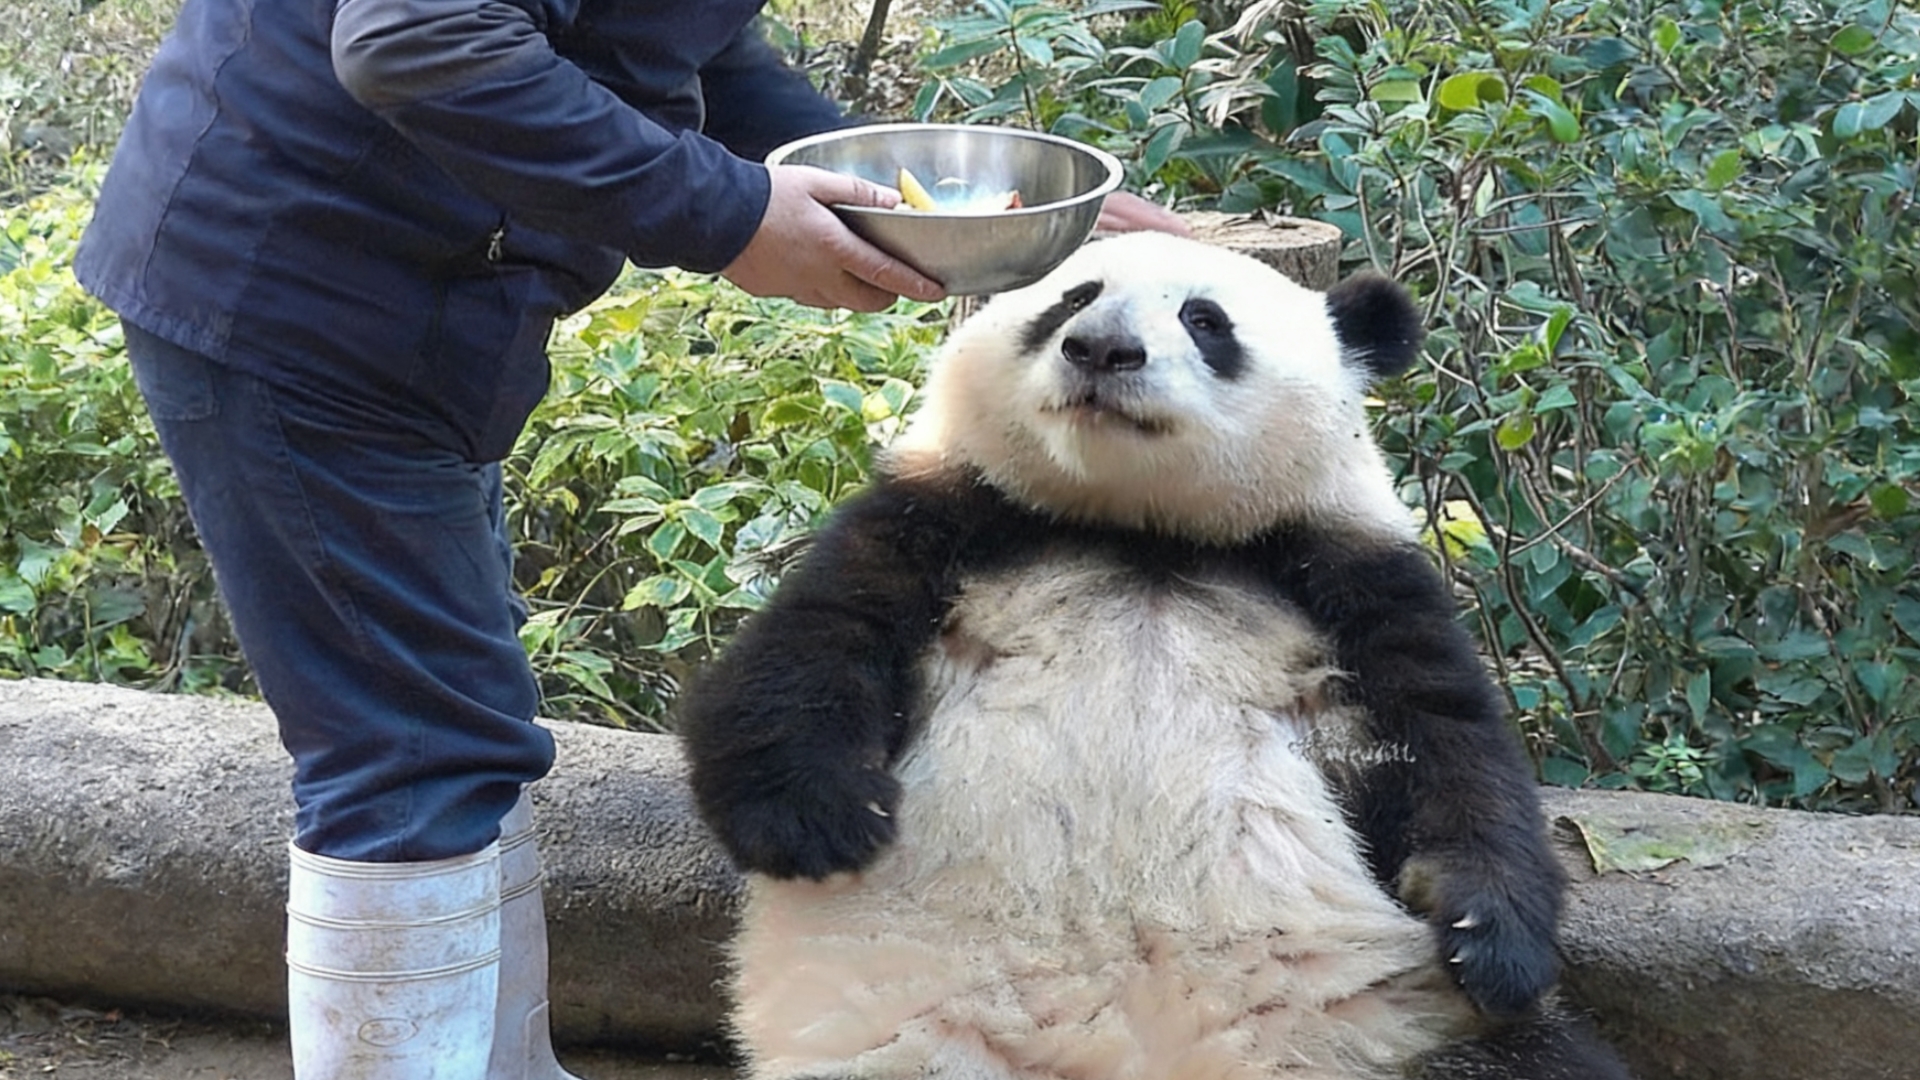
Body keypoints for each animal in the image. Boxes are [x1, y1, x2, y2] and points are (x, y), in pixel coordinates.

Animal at [678, 231, 1632, 1080]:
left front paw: (1490, 941)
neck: (1138, 530)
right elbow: (813, 643)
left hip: (1386, 1028)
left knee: (1537, 1062)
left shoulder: (1349, 581)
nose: (1102, 348)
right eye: (1073, 296)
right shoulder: (945, 518)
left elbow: (1451, 748)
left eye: (1205, 320)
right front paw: (820, 817)